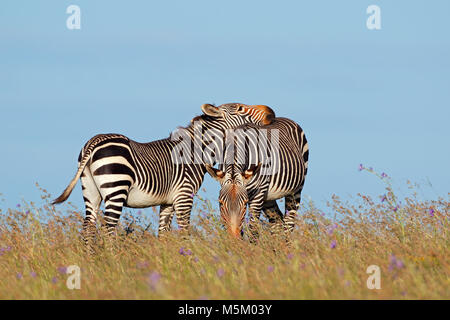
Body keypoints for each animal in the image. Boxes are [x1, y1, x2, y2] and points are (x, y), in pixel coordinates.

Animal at [51, 102, 276, 248]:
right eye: (240, 108)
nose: (271, 113)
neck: (196, 151)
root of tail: (94, 141)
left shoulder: (167, 201)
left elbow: (164, 234)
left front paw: (167, 261)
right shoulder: (184, 195)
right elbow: (184, 230)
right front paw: (187, 262)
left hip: (90, 190)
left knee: (88, 228)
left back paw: (91, 263)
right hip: (116, 188)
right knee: (108, 228)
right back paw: (114, 262)